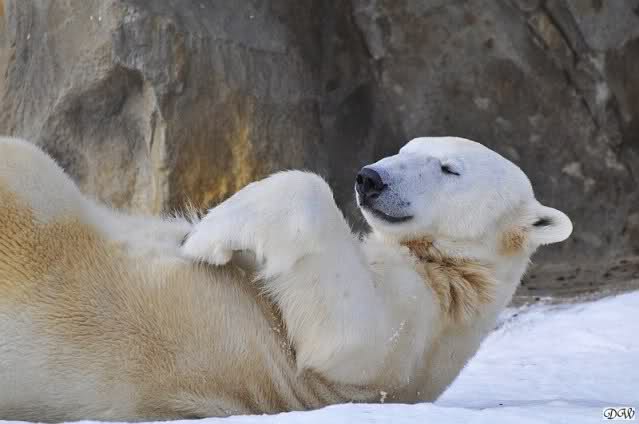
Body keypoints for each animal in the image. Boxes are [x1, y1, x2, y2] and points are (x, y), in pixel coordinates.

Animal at [0, 136, 572, 421]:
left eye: (449, 168)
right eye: (406, 148)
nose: (370, 178)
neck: (454, 273)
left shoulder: (412, 336)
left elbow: (346, 335)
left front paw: (206, 234)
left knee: (25, 162)